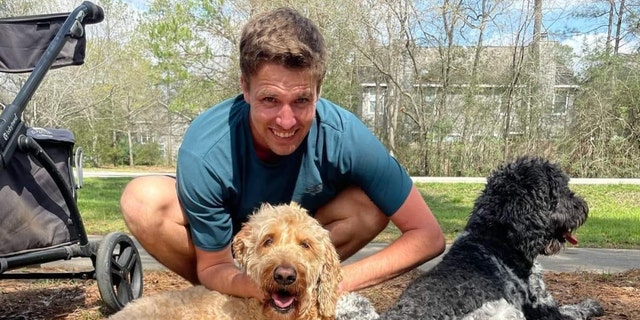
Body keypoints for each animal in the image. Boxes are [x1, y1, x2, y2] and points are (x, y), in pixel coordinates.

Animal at [380, 157, 604, 320]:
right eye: (561, 190)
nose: (583, 206)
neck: (496, 240)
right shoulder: (544, 310)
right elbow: (572, 310)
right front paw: (590, 305)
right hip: (505, 311)